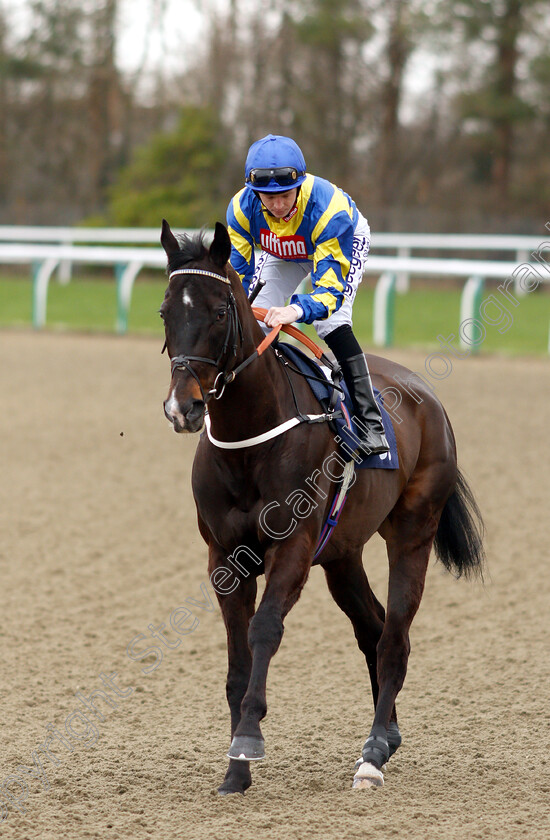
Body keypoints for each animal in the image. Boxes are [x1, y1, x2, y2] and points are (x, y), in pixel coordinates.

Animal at [160, 218, 488, 796]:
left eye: (220, 312)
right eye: (164, 313)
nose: (184, 407)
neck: (249, 441)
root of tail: (426, 396)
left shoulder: (291, 547)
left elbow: (264, 630)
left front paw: (248, 740)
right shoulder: (225, 558)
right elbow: (238, 657)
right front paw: (234, 771)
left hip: (413, 531)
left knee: (394, 637)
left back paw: (373, 753)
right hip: (342, 553)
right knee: (372, 628)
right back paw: (389, 737)